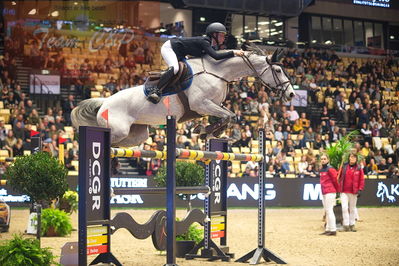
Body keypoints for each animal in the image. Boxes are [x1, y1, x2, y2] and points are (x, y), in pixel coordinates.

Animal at [72, 48, 296, 147]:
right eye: (278, 70)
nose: (291, 93)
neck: (218, 72)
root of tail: (105, 102)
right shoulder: (201, 104)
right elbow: (229, 115)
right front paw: (207, 131)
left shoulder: (211, 105)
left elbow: (228, 116)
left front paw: (207, 131)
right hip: (118, 130)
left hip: (136, 135)